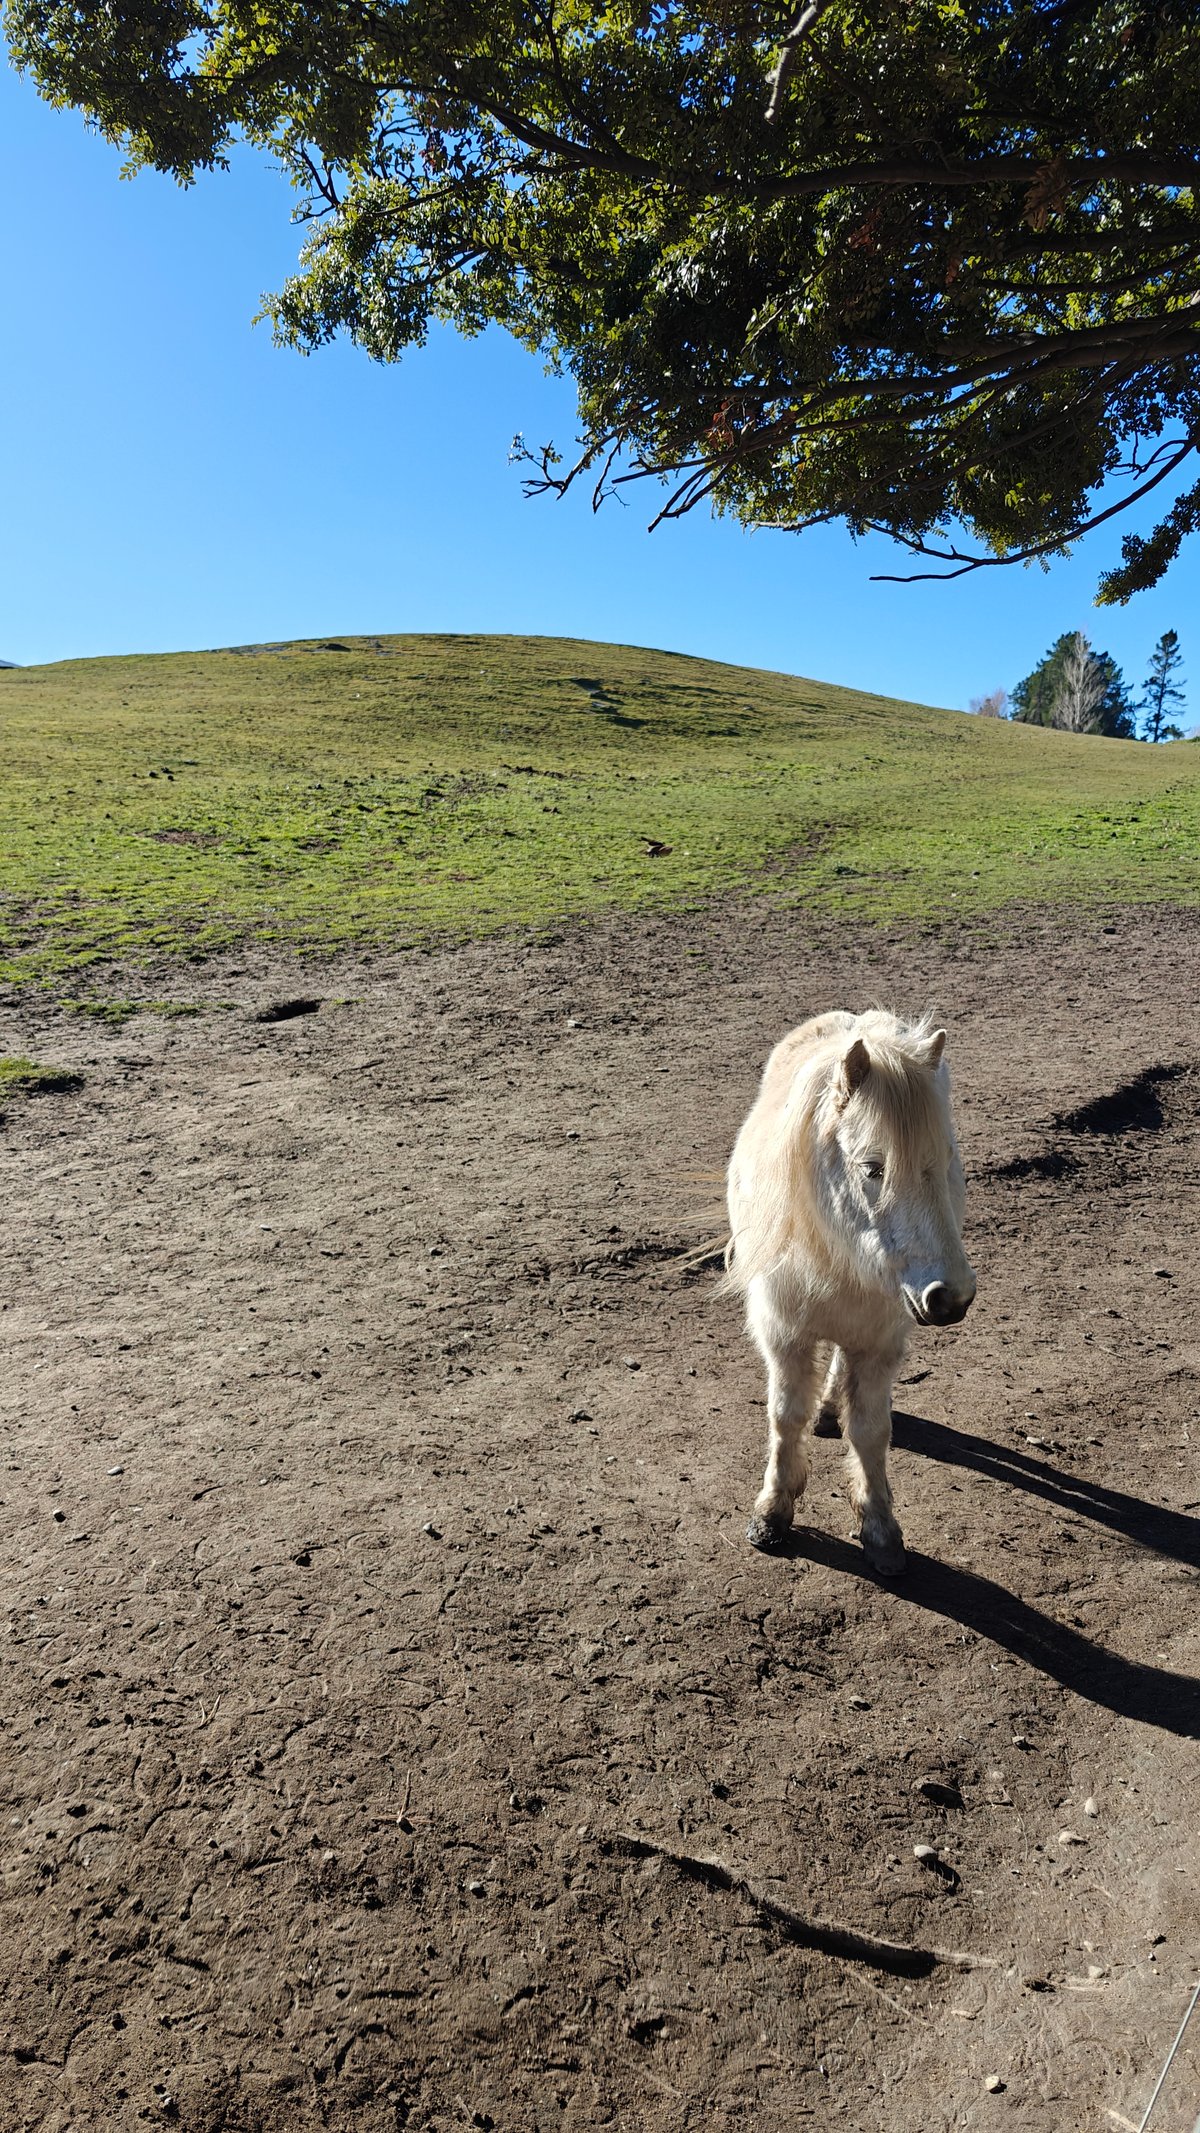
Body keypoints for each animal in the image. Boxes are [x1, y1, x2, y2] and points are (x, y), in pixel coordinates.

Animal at [725, 1009, 975, 1575]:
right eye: (872, 1168)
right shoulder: (784, 1335)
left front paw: (880, 1531)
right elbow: (784, 1416)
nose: (950, 1299)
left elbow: (869, 1431)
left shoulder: (880, 1342)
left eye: (946, 1159)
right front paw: (772, 1513)